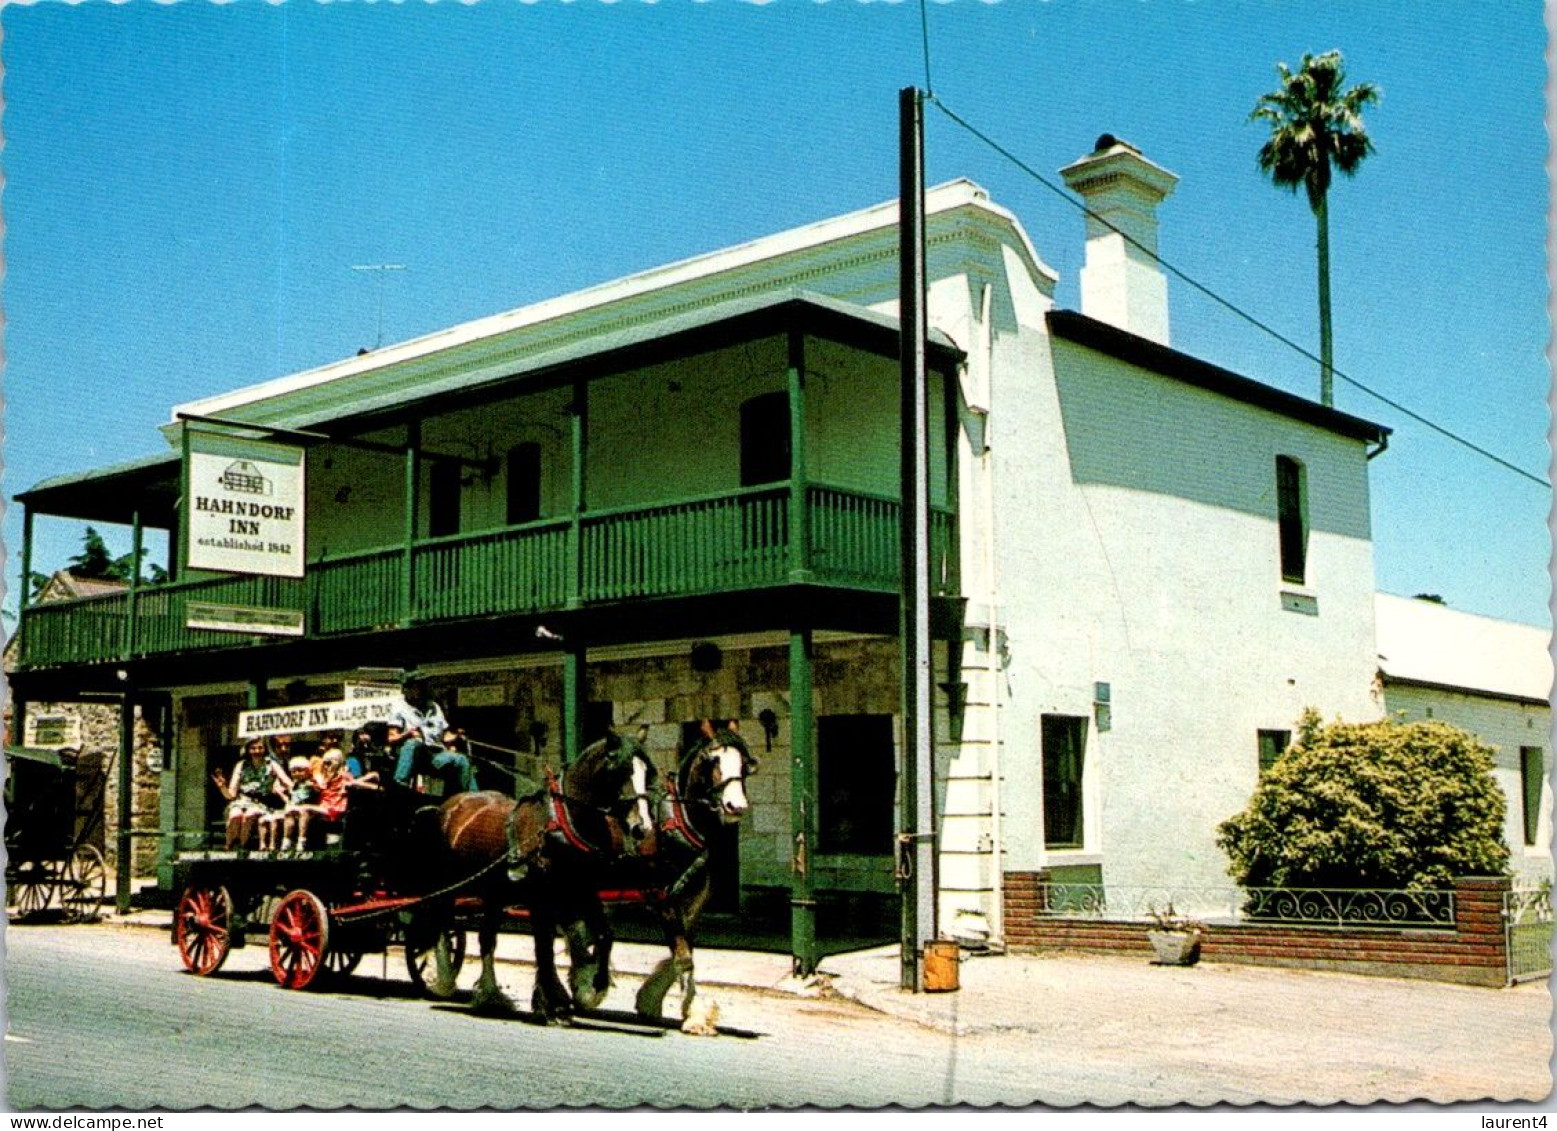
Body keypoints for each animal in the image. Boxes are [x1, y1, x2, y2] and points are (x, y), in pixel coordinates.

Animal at [417, 735, 653, 1021]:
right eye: (618, 770)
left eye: (646, 772)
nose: (642, 827)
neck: (563, 822)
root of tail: (449, 804)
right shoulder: (542, 898)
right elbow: (545, 946)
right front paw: (551, 1002)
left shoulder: (582, 891)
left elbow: (601, 935)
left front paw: (591, 988)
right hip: (448, 885)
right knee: (441, 924)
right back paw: (444, 980)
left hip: (494, 893)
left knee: (486, 938)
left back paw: (489, 995)